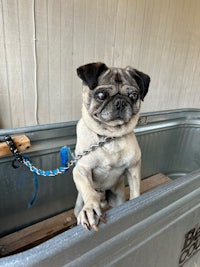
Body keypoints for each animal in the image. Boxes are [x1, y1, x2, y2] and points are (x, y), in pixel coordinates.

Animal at [72, 62, 150, 230]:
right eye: (101, 95)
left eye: (133, 96)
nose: (121, 101)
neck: (108, 137)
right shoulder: (81, 170)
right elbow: (88, 190)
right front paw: (90, 209)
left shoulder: (133, 167)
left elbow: (135, 189)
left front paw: (137, 202)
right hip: (78, 203)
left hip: (117, 197)